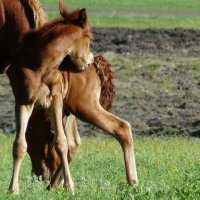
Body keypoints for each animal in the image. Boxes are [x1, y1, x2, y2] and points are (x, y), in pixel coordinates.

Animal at [6, 0, 93, 194]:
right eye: (90, 38)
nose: (89, 61)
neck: (41, 65)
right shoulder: (24, 100)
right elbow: (19, 145)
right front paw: (13, 188)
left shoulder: (55, 99)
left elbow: (61, 142)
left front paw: (70, 186)